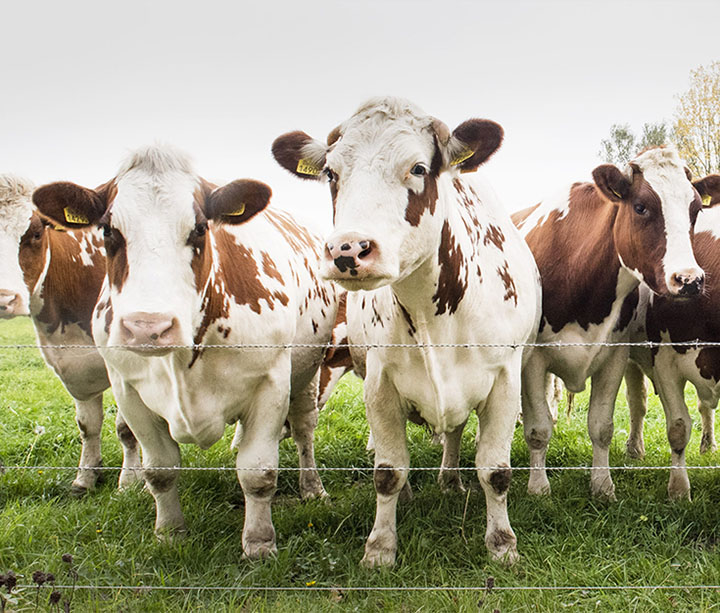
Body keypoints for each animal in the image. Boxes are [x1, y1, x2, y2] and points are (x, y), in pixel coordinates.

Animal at [0, 172, 140, 492]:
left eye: (35, 233)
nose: (4, 299)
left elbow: (126, 428)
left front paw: (129, 481)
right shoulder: (72, 364)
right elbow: (87, 425)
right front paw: (86, 477)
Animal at [31, 146, 338, 556]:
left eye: (200, 228)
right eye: (108, 231)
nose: (148, 327)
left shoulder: (271, 383)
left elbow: (258, 473)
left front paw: (259, 543)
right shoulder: (128, 390)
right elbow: (159, 469)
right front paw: (169, 532)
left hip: (307, 373)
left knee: (304, 430)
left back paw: (312, 488)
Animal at [272, 95, 540, 564]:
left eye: (417, 168)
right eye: (331, 173)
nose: (348, 250)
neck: (433, 311)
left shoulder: (505, 379)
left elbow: (495, 471)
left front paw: (502, 543)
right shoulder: (379, 382)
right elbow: (387, 471)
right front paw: (380, 547)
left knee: (454, 432)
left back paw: (450, 479)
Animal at [516, 146, 704, 500]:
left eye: (696, 209)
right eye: (641, 206)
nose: (690, 280)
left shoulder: (615, 354)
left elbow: (601, 426)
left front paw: (602, 486)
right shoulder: (533, 360)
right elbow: (538, 428)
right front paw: (538, 487)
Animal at [620, 171, 720, 498]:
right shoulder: (665, 362)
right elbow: (677, 427)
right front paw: (678, 490)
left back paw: (708, 445)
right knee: (637, 403)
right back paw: (634, 448)